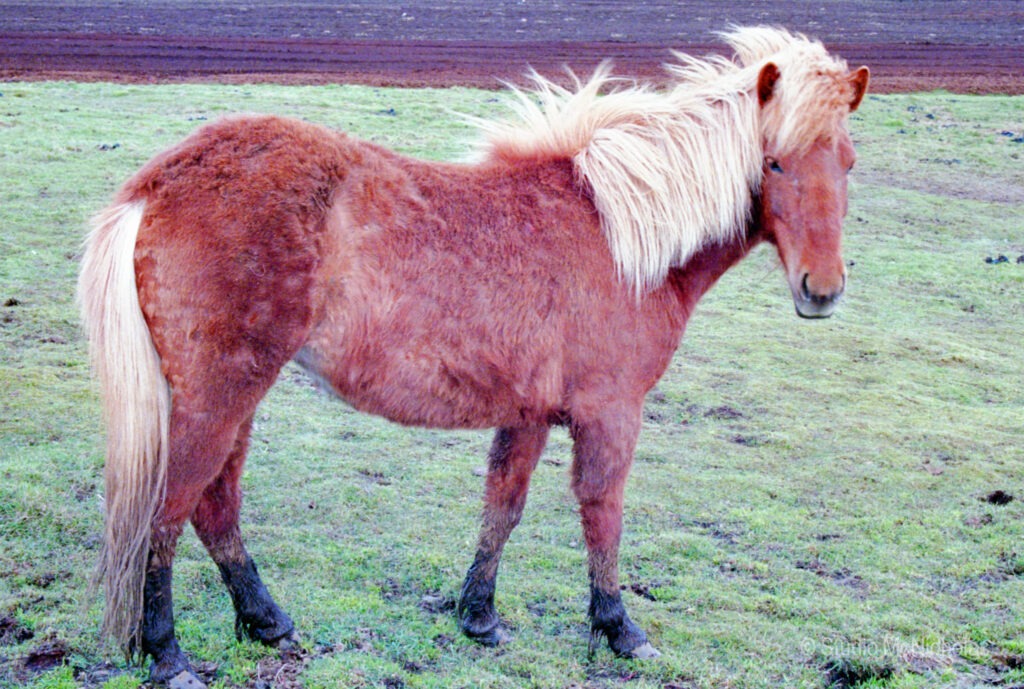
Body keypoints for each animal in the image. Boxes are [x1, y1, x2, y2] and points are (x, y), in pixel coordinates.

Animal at [78, 26, 868, 687]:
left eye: (849, 162)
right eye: (774, 162)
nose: (822, 290)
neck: (617, 234)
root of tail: (156, 184)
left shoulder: (529, 412)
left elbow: (503, 507)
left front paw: (478, 616)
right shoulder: (611, 411)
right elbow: (602, 511)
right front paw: (618, 629)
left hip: (234, 396)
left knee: (215, 506)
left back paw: (266, 621)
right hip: (219, 394)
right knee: (168, 511)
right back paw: (168, 653)